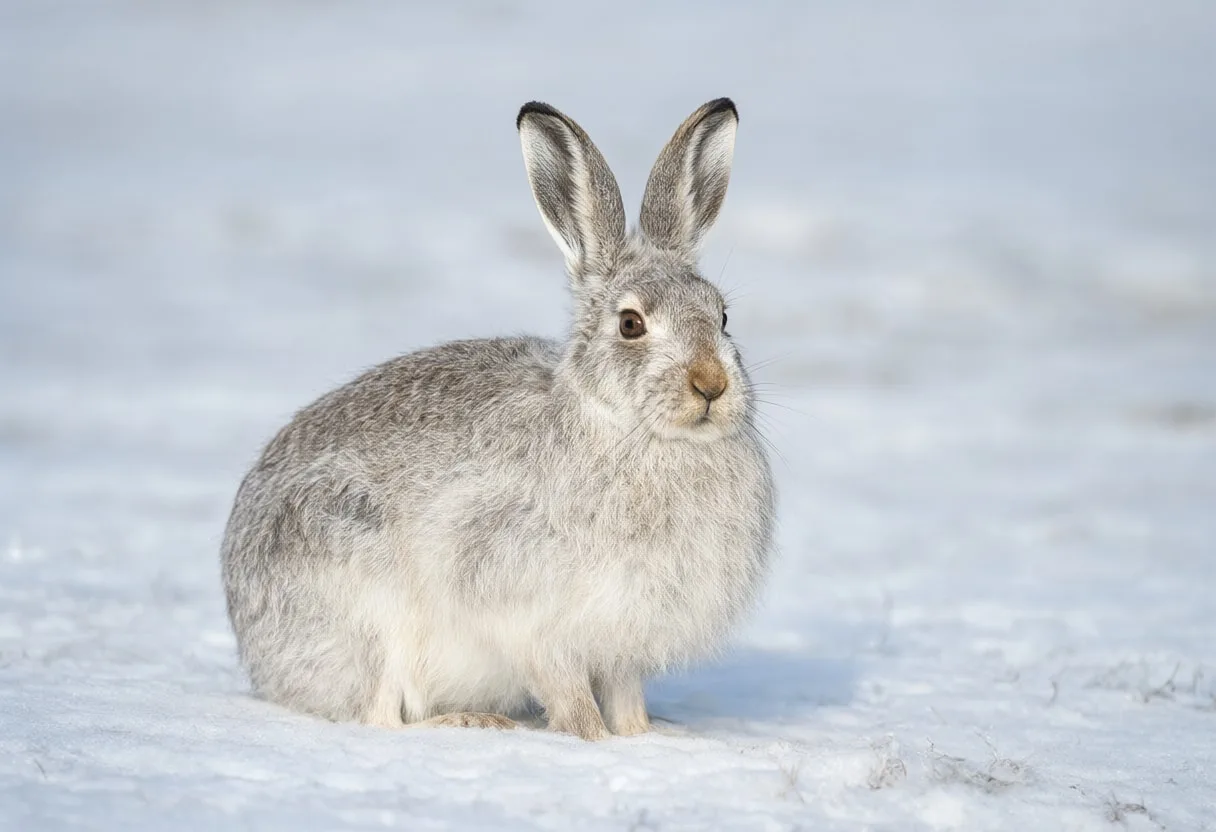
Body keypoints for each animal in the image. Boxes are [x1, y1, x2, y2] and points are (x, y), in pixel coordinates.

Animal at [220, 98, 775, 741]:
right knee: (381, 715)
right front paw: (595, 742)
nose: (711, 385)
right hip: (362, 597)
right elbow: (573, 702)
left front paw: (644, 738)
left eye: (723, 317)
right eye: (631, 324)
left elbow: (624, 697)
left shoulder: (619, 643)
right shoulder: (537, 621)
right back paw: (474, 722)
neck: (634, 431)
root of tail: (255, 646)